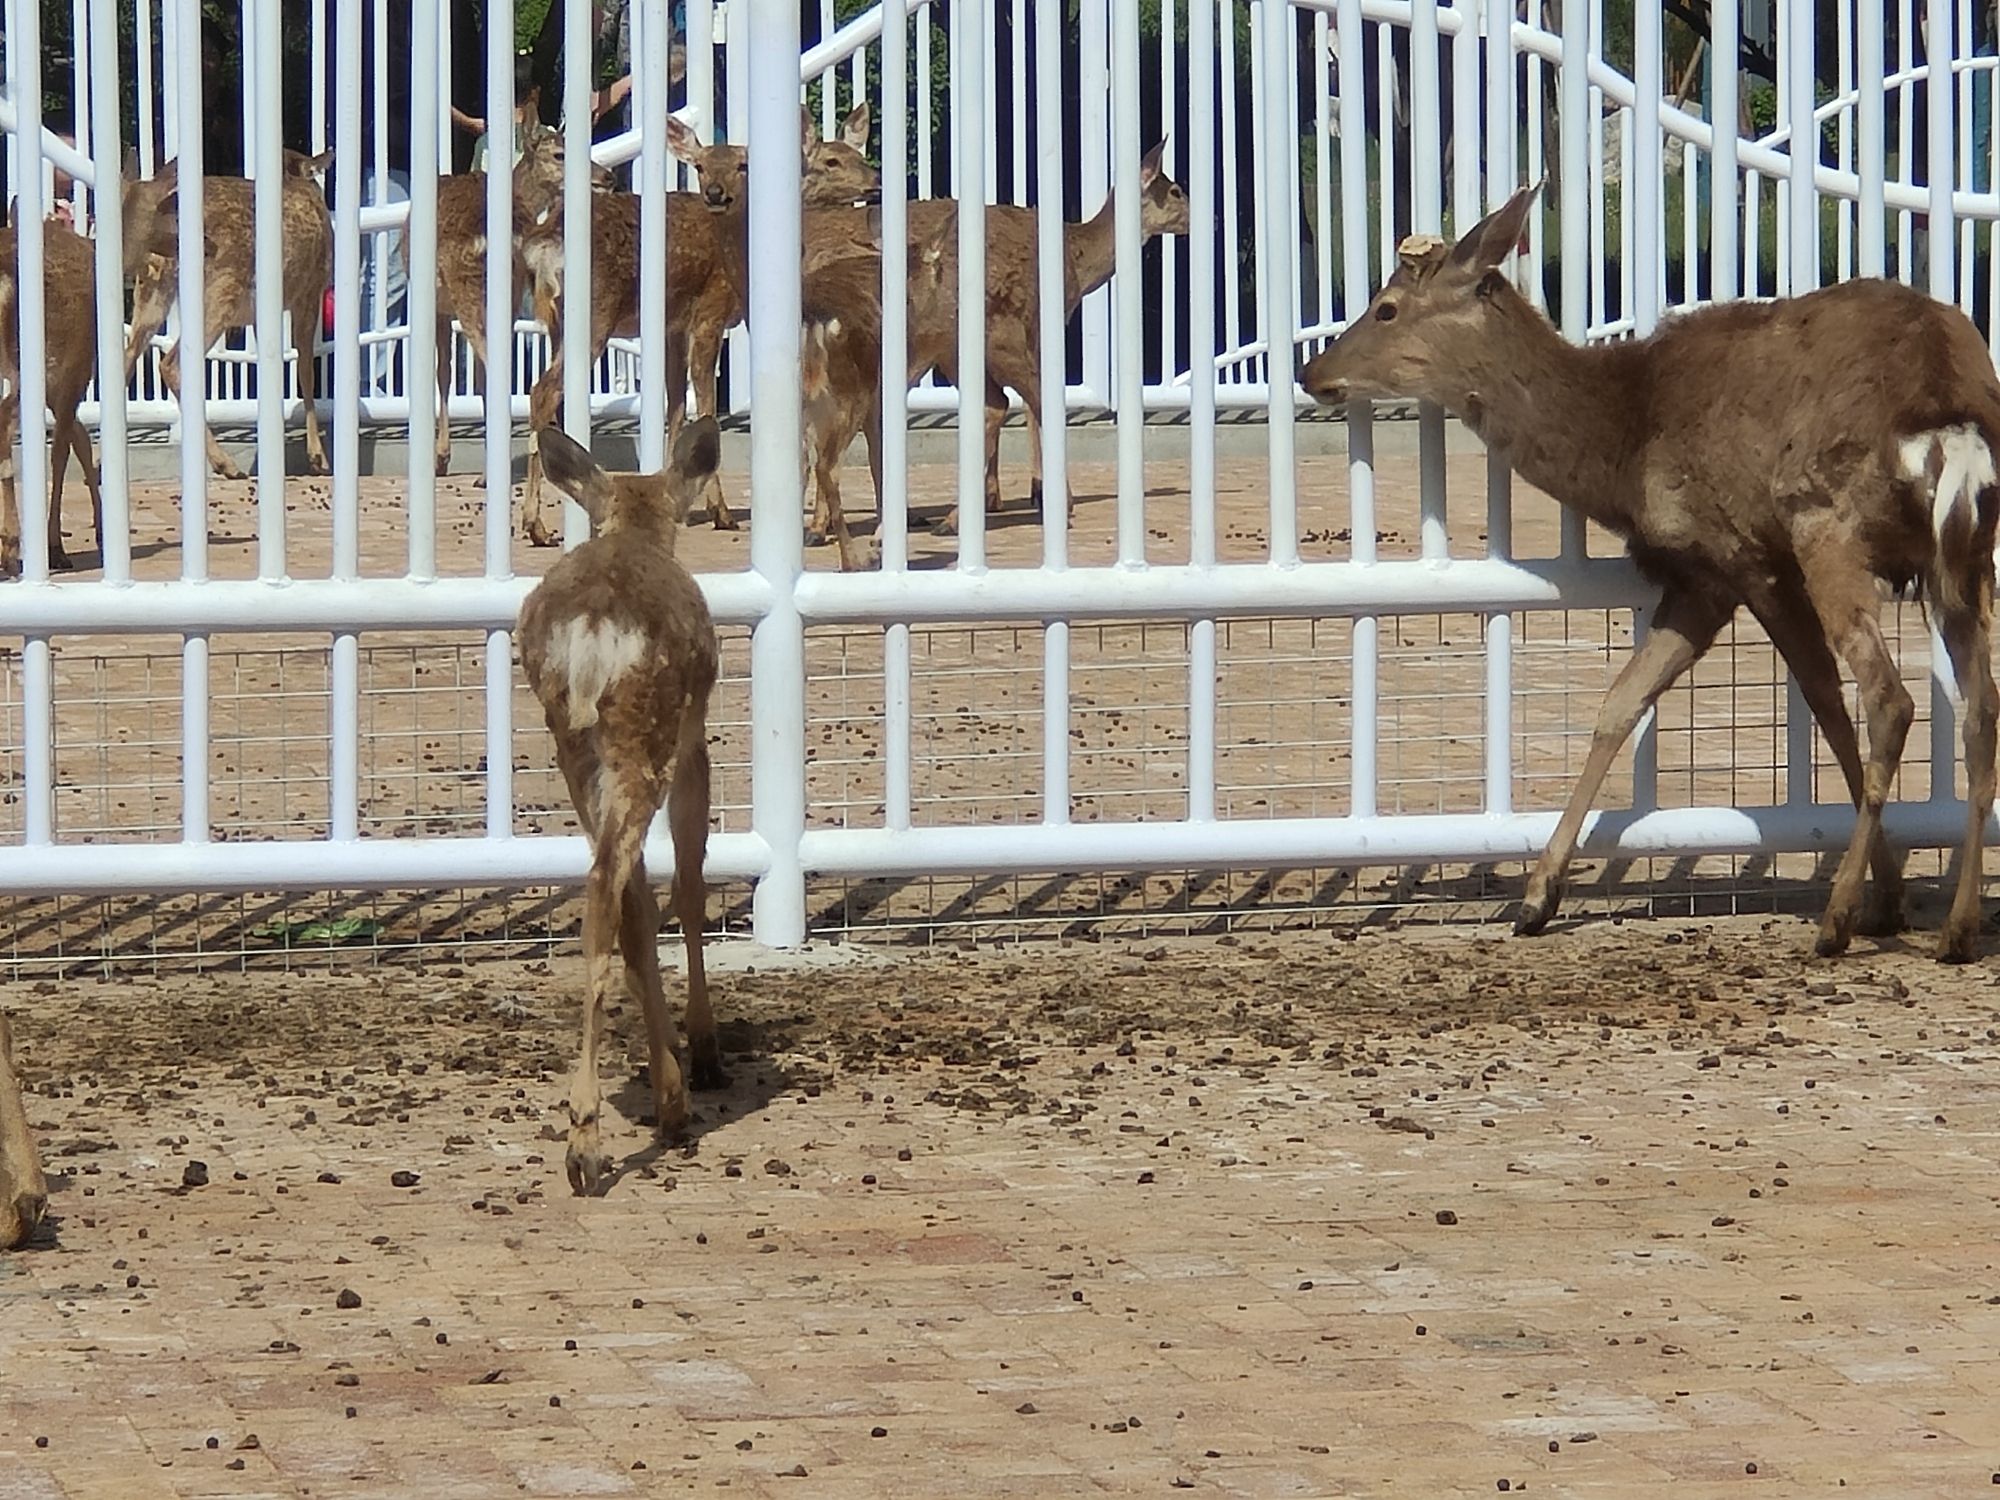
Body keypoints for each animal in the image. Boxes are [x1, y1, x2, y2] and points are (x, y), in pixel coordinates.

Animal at [120, 148, 336, 480]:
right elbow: (306, 371)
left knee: (126, 358)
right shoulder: (309, 292)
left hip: (151, 290)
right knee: (170, 363)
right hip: (221, 289)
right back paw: (226, 464)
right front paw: (318, 458)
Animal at [517, 417, 726, 1195]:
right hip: (649, 730)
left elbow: (645, 907)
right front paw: (704, 1051)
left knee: (608, 890)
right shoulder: (694, 745)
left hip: (575, 744)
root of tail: (593, 627)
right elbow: (690, 884)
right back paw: (593, 1139)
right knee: (612, 887)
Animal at [520, 104, 882, 546]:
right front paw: (719, 510)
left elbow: (676, 407)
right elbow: (706, 405)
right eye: (830, 161)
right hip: (594, 316)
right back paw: (535, 524)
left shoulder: (672, 326)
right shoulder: (710, 312)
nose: (875, 181)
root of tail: (543, 244)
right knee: (542, 392)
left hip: (557, 324)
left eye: (856, 155)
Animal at [1300, 182, 2000, 963]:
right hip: (1964, 556)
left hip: (1830, 528)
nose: (1311, 372)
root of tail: (1947, 409)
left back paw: (1836, 920)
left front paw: (1886, 897)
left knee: (1890, 699)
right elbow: (1620, 702)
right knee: (1983, 708)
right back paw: (1960, 927)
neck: (1627, 438)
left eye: (1387, 306)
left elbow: (1822, 702)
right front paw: (1537, 896)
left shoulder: (1739, 555)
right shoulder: (1703, 580)